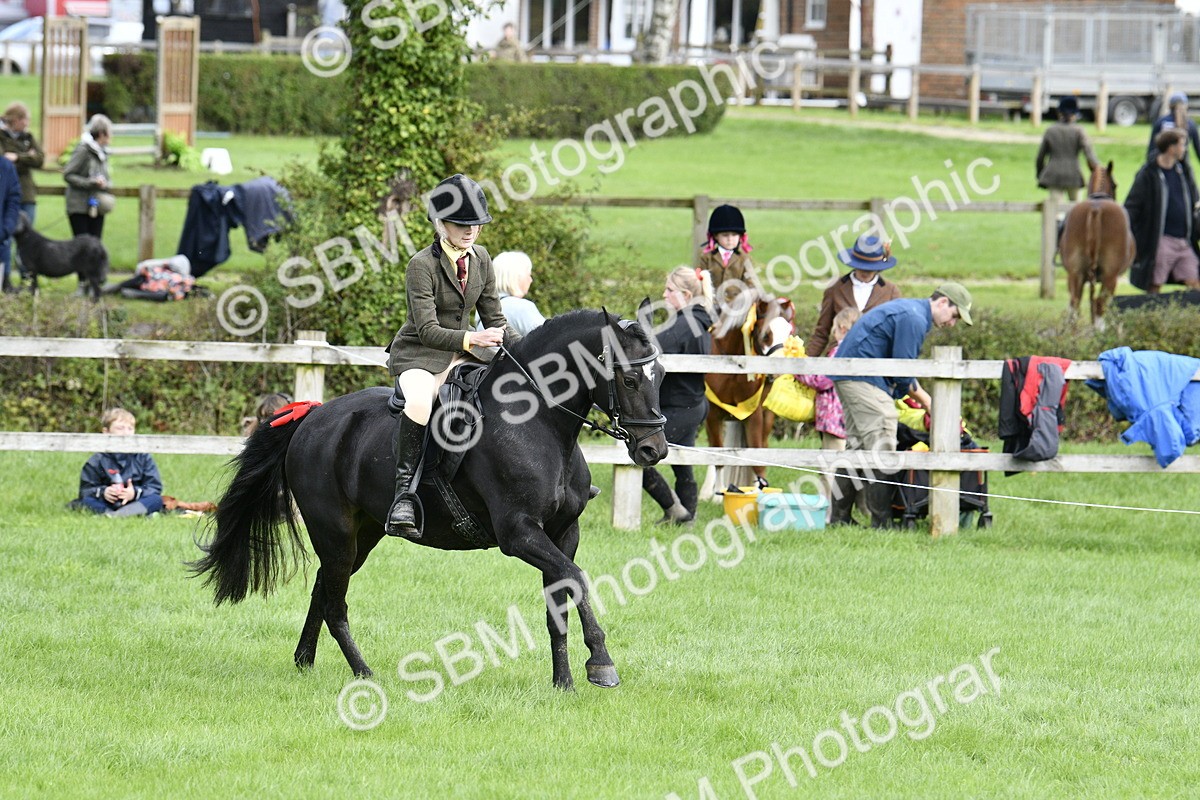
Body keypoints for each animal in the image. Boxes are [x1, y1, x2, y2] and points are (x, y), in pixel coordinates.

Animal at [189, 309, 669, 689]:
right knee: (334, 601)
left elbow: (561, 600)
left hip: (363, 534)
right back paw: (364, 673)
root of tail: (313, 416)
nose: (654, 450)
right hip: (335, 531)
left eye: (661, 376)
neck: (539, 424)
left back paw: (305, 660)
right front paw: (601, 664)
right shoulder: (519, 535)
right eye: (629, 378)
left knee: (324, 587)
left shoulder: (563, 533)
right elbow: (578, 579)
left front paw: (564, 682)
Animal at [702, 289, 795, 488]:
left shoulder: (753, 414)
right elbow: (719, 456)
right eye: (766, 334)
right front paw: (719, 491)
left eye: (789, 332)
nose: (779, 371)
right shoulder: (713, 415)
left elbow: (757, 457)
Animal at [1060, 161, 1136, 327]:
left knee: (1075, 307)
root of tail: (1096, 209)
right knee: (1100, 305)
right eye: (1115, 185)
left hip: (1076, 275)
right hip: (1109, 277)